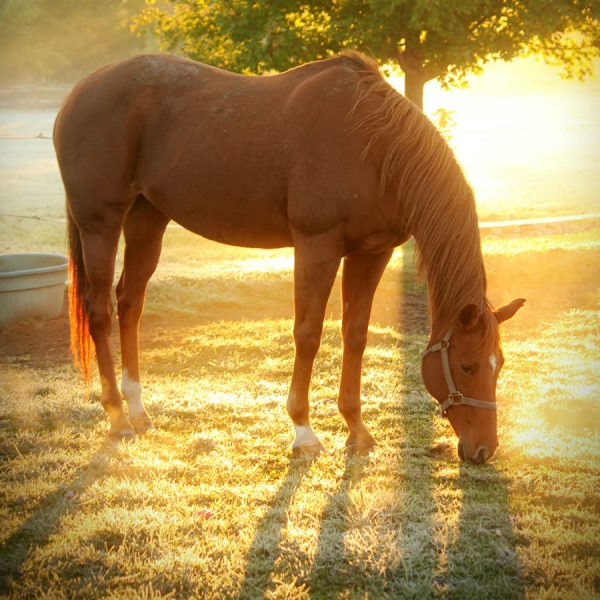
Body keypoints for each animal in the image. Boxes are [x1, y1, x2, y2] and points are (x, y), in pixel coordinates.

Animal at [56, 51, 524, 464]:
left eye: (498, 365)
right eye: (466, 366)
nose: (484, 450)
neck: (373, 146)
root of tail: (78, 92)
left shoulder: (372, 252)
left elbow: (355, 334)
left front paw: (357, 430)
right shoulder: (317, 246)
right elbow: (308, 334)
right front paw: (304, 433)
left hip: (147, 219)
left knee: (130, 303)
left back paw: (137, 410)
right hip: (100, 222)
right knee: (99, 310)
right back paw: (117, 416)